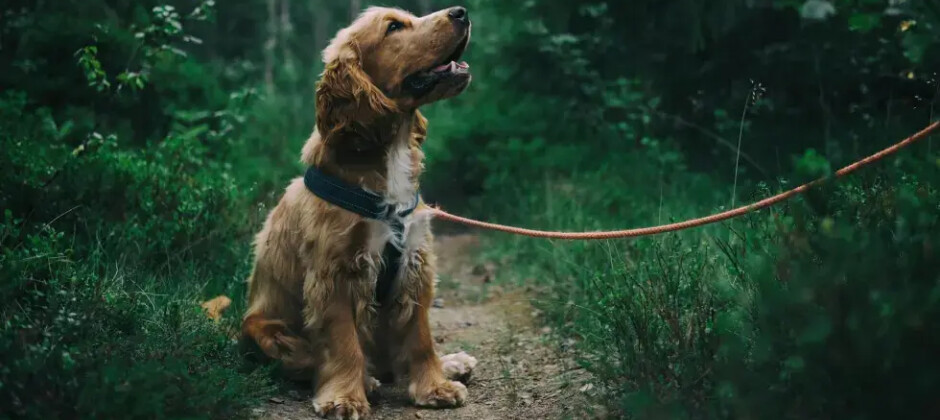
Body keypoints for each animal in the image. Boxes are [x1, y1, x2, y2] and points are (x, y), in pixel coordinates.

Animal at [242, 4, 474, 418]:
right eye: (394, 27)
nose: (461, 11)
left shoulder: (415, 264)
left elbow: (420, 337)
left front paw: (435, 386)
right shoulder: (336, 272)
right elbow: (343, 342)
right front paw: (345, 397)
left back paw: (452, 363)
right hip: (266, 333)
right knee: (309, 359)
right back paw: (366, 380)